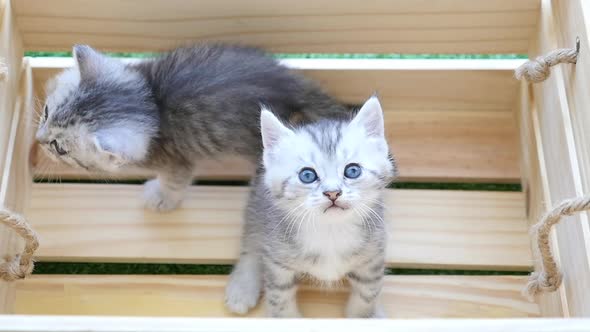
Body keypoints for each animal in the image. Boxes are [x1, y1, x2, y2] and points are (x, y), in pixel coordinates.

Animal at [37, 43, 346, 210]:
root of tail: (294, 88)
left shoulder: (176, 159)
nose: (39, 140)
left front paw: (161, 198)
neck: (151, 104)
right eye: (46, 113)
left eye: (60, 149)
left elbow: (174, 181)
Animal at [227, 97, 398, 318]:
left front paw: (365, 316)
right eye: (307, 175)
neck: (330, 232)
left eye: (352, 171)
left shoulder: (374, 255)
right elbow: (279, 297)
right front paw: (286, 318)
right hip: (258, 205)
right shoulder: (277, 263)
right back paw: (242, 288)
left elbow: (368, 292)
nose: (333, 193)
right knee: (251, 242)